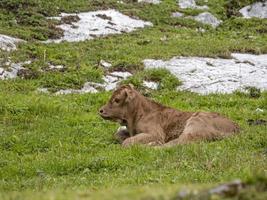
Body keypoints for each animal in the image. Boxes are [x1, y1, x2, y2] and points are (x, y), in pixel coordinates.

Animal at [99, 85, 241, 147]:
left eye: (117, 99)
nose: (100, 110)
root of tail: (236, 128)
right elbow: (118, 134)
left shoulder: (156, 133)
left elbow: (127, 142)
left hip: (195, 123)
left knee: (176, 143)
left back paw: (152, 144)